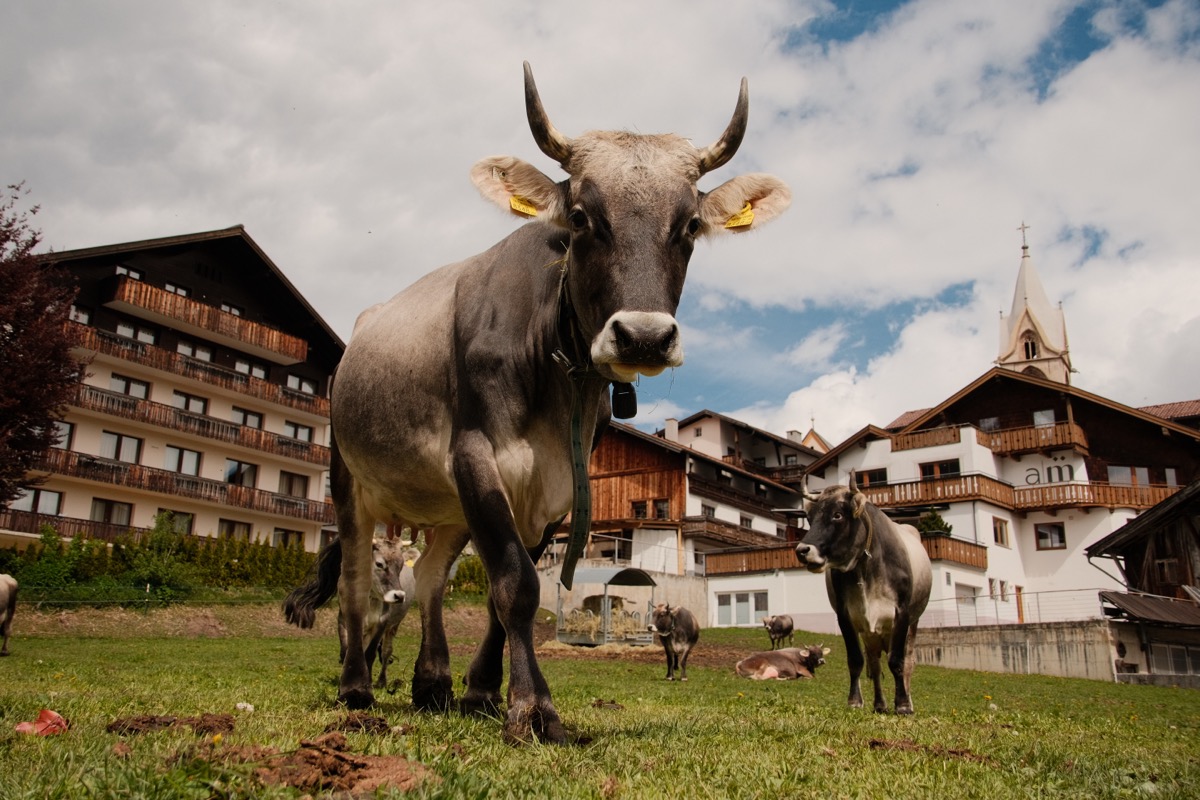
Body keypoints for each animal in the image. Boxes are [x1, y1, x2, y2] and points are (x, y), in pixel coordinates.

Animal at [283, 538, 416, 689]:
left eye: (400, 566)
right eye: (379, 564)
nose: (399, 596)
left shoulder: (381, 623)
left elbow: (370, 654)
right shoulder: (343, 620)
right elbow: (346, 651)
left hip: (393, 625)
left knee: (386, 651)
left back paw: (381, 682)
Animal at [328, 62, 790, 743]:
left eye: (689, 226)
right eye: (578, 216)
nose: (644, 336)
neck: (556, 378)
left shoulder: (556, 486)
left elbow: (504, 593)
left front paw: (483, 692)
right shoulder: (476, 453)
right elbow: (516, 585)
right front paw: (533, 708)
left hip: (448, 505)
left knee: (430, 579)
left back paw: (432, 683)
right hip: (349, 478)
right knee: (356, 581)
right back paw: (357, 687)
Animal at [794, 474, 932, 714]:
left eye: (837, 515)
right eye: (810, 518)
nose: (802, 551)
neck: (865, 567)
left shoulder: (902, 613)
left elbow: (897, 661)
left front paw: (903, 704)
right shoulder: (845, 616)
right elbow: (856, 660)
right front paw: (855, 700)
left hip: (912, 623)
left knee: (908, 662)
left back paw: (907, 700)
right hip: (870, 632)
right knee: (875, 664)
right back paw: (880, 705)